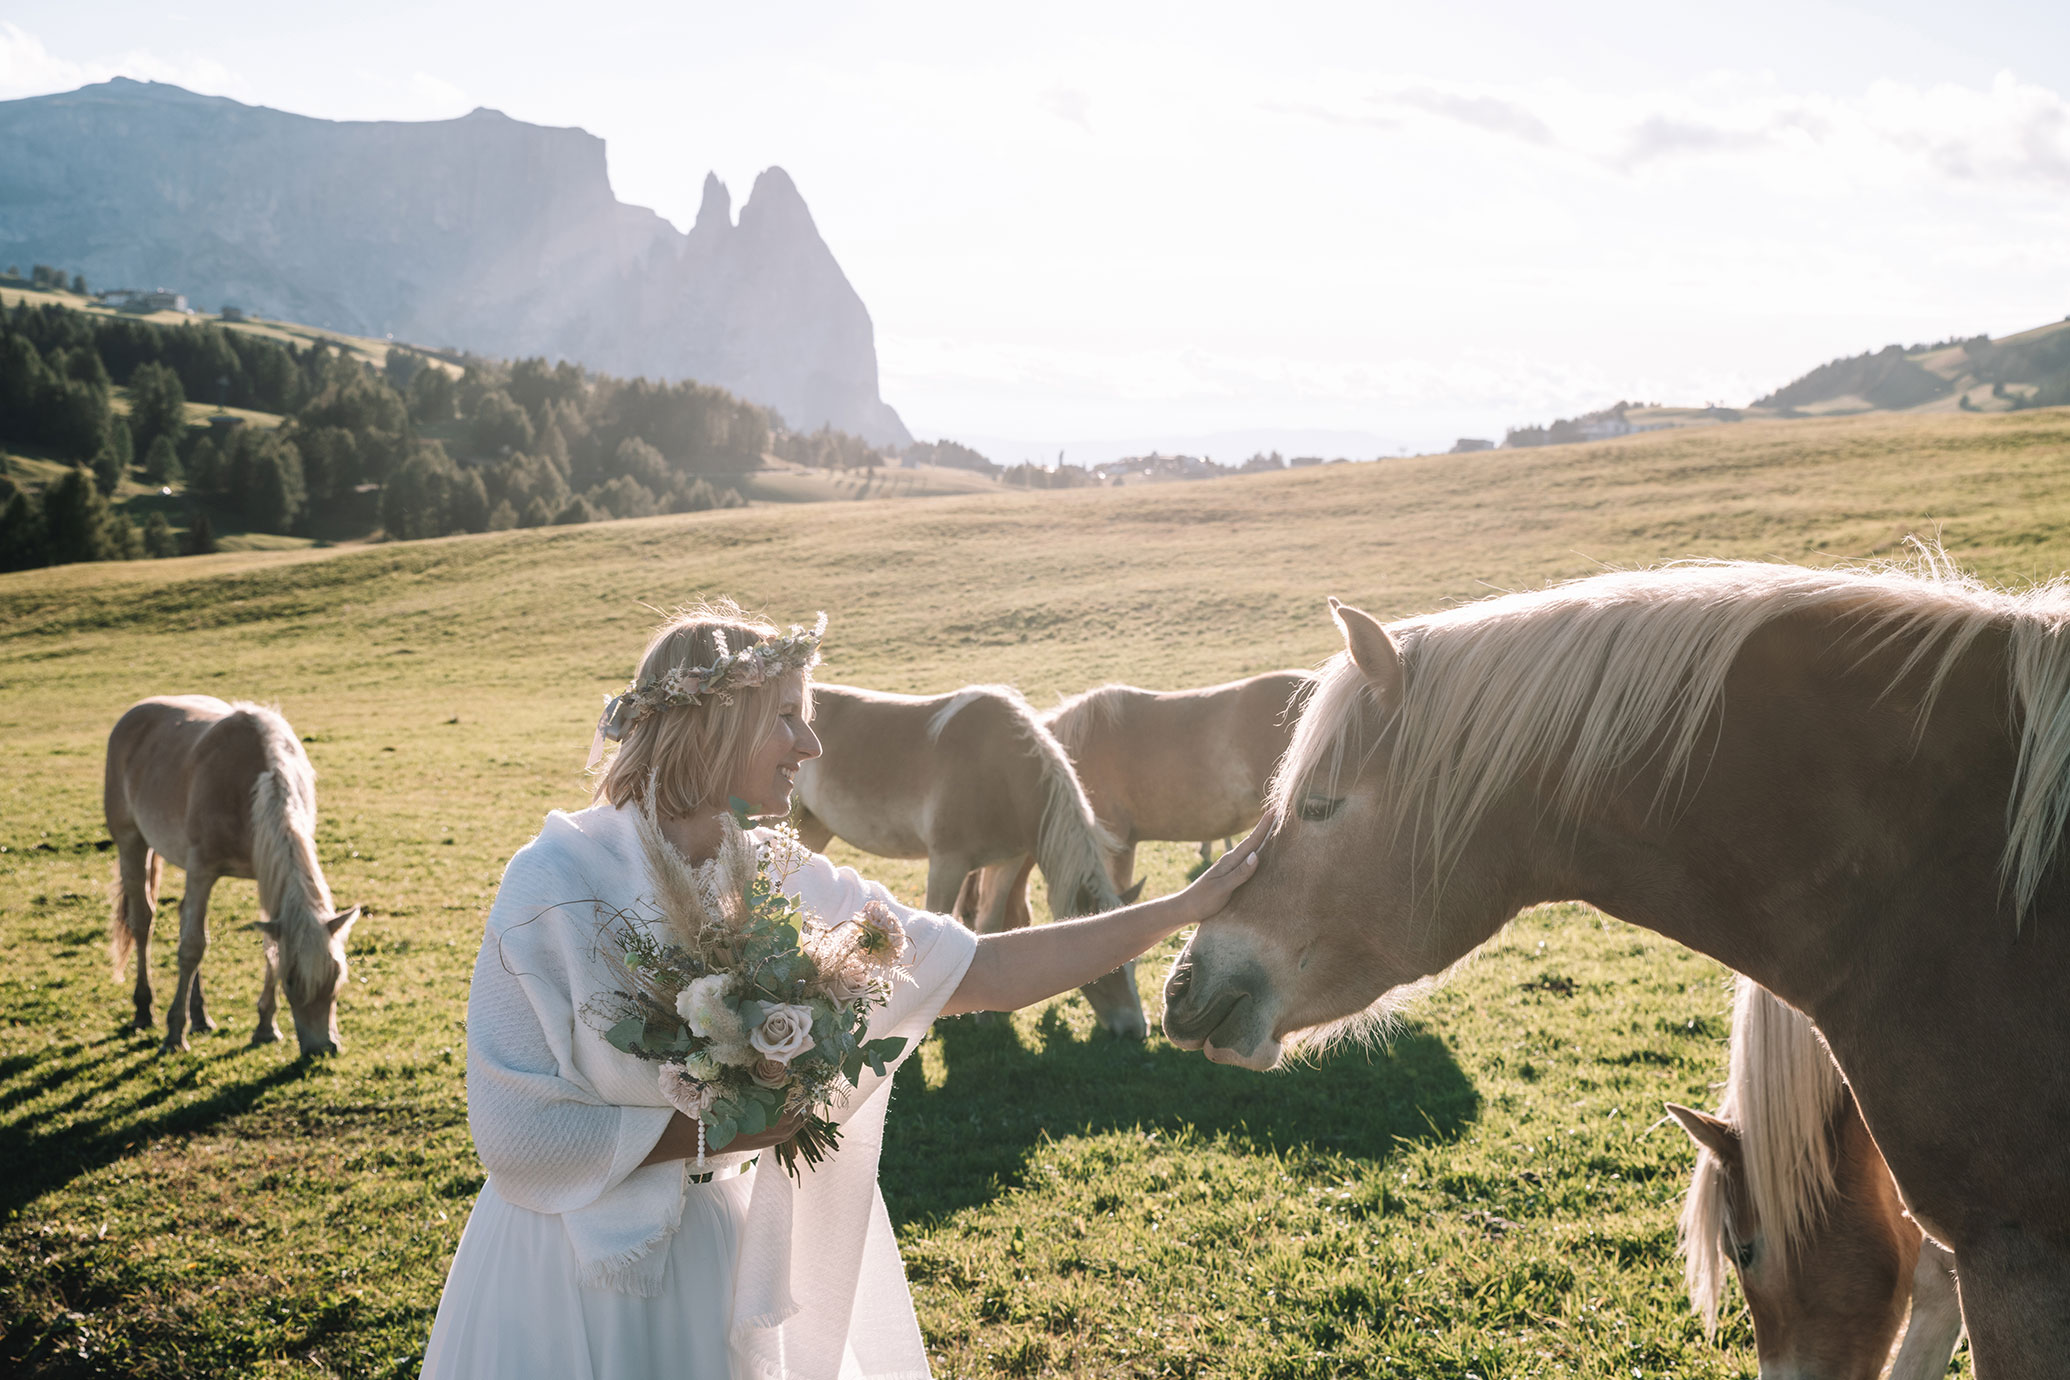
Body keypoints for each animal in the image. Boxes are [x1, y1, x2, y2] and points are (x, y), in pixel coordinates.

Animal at [105, 695, 362, 1067]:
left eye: (337, 975)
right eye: (291, 981)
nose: (322, 1049)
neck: (254, 784)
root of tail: (135, 711)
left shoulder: (266, 875)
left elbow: (268, 947)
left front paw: (265, 1027)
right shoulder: (201, 870)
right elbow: (192, 948)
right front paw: (174, 1035)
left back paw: (200, 1016)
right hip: (131, 842)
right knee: (142, 921)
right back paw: (143, 1010)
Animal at [790, 678, 1150, 1034]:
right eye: (1110, 971)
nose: (1136, 1030)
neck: (1002, 771)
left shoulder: (1006, 862)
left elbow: (988, 922)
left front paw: (986, 1016)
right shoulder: (947, 863)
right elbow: (936, 916)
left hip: (817, 826)